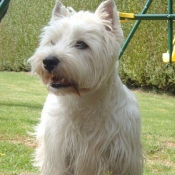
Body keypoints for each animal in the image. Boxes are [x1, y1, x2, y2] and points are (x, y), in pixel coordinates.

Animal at [28, 0, 143, 174]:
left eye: (81, 44)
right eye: (52, 42)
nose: (48, 61)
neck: (84, 102)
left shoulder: (125, 158)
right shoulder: (59, 153)